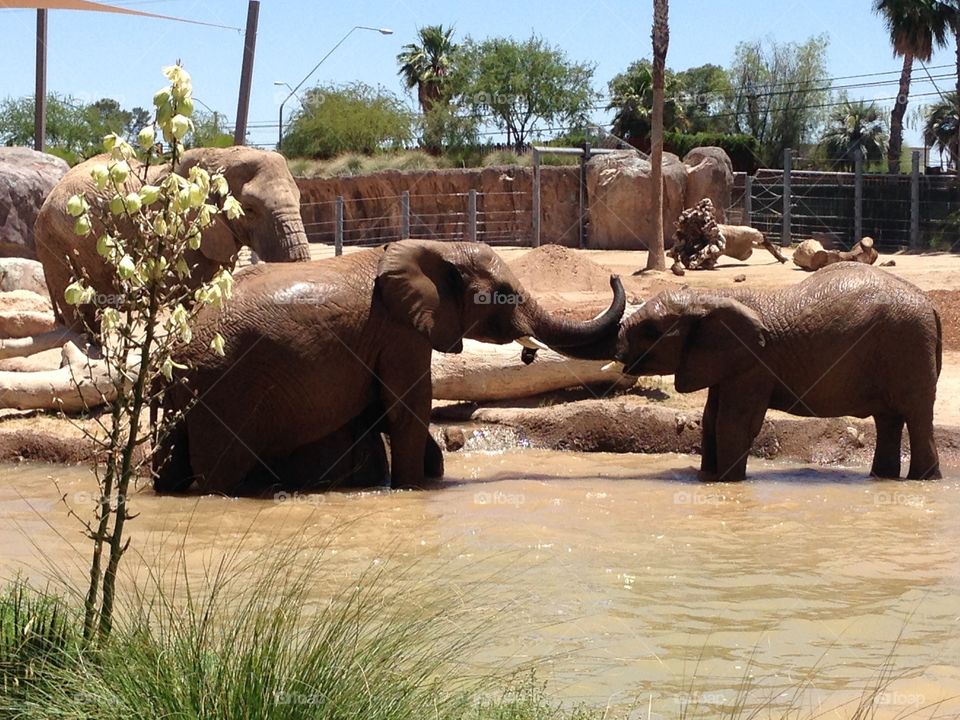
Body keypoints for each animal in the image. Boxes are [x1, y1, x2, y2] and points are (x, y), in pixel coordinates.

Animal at [13, 146, 311, 358]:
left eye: (300, 200)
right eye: (249, 208)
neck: (220, 154)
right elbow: (192, 296)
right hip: (56, 244)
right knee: (80, 315)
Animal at [152, 239, 626, 495]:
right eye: (504, 293)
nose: (614, 277)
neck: (436, 248)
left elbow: (382, 410)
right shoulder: (401, 334)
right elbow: (407, 409)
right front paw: (412, 488)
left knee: (169, 460)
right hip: (223, 392)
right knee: (219, 475)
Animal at [565, 262, 942, 481]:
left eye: (650, 331)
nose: (613, 276)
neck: (710, 296)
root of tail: (931, 305)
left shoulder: (753, 365)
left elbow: (734, 423)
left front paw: (728, 483)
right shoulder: (724, 362)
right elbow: (711, 419)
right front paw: (707, 480)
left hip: (909, 347)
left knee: (917, 417)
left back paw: (924, 481)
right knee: (889, 419)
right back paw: (883, 479)